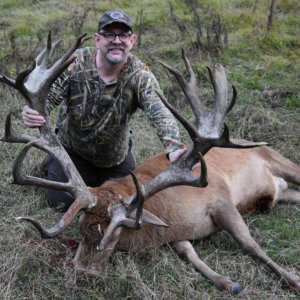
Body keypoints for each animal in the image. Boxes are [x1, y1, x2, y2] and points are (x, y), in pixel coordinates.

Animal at [0, 32, 298, 292]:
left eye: (114, 235)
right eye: (82, 228)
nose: (82, 272)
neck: (173, 213)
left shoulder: (220, 198)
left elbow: (250, 245)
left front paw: (292, 278)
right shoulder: (177, 233)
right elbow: (188, 253)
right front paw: (227, 282)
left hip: (278, 160)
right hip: (281, 192)